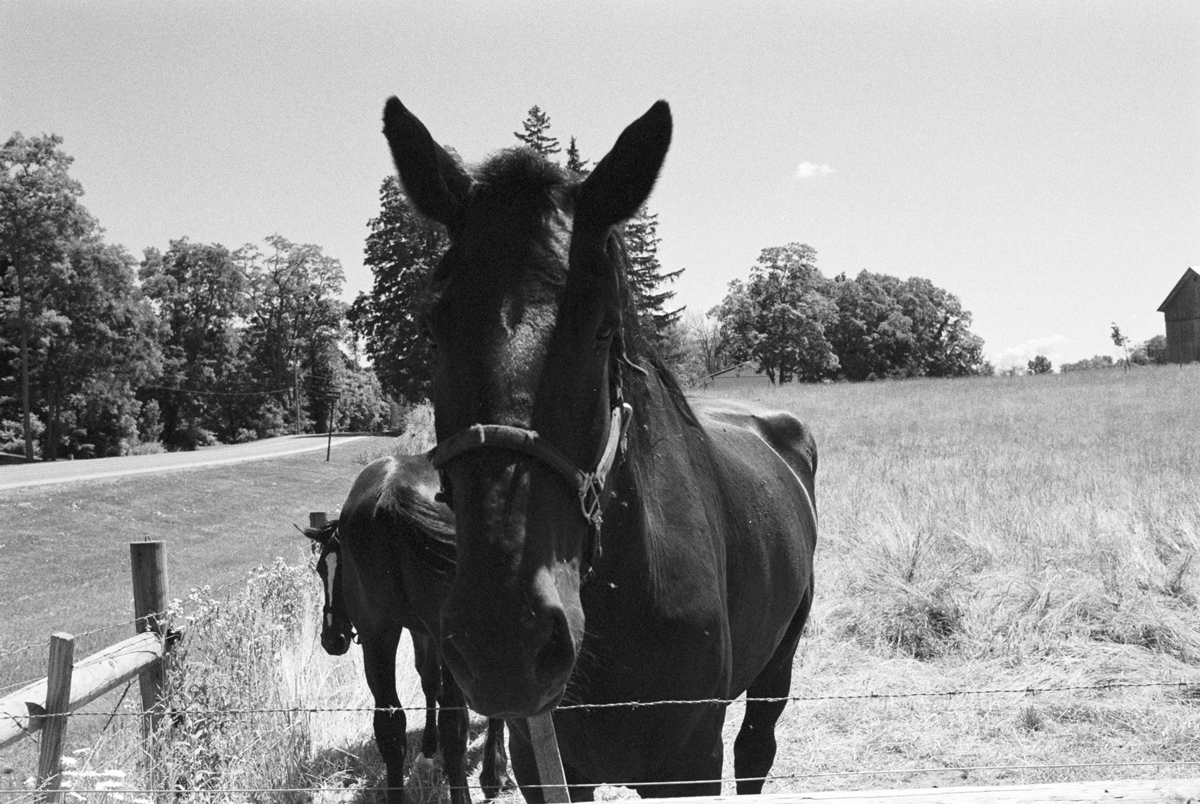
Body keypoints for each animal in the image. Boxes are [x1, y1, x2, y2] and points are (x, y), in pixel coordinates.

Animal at [302, 456, 508, 801]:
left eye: (335, 571)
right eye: (320, 571)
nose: (332, 638)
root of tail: (389, 496)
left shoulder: (417, 630)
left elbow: (429, 679)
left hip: (377, 635)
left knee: (390, 725)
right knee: (454, 720)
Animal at [379, 97, 820, 801]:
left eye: (603, 327)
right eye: (433, 325)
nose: (504, 642)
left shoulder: (689, 768)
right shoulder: (545, 765)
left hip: (779, 660)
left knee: (756, 749)